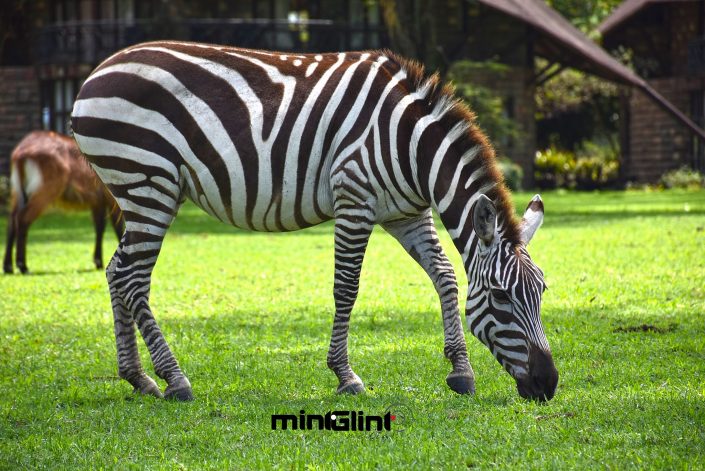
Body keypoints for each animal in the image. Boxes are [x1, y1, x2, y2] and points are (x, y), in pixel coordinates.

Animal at [3, 131, 124, 274]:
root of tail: (21, 151)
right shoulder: (111, 199)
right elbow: (118, 227)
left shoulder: (98, 201)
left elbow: (100, 226)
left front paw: (98, 262)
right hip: (46, 191)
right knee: (22, 218)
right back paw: (23, 266)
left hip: (18, 192)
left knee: (12, 221)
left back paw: (8, 267)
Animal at [70, 39, 556, 402]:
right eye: (501, 297)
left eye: (542, 293)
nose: (548, 384)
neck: (410, 145)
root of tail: (97, 71)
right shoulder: (354, 198)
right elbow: (347, 288)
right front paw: (346, 376)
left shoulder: (407, 213)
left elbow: (445, 277)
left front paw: (460, 371)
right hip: (148, 183)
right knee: (133, 279)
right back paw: (175, 380)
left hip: (141, 192)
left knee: (116, 271)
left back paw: (139, 378)